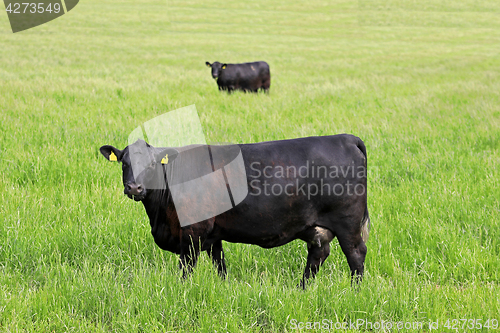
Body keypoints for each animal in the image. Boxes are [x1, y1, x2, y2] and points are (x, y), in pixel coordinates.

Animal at [100, 134, 368, 286]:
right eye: (124, 163)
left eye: (152, 164)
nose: (134, 187)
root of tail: (346, 138)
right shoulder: (212, 235)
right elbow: (220, 265)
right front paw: (225, 288)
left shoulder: (193, 232)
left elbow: (186, 268)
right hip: (317, 228)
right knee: (317, 255)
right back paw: (302, 288)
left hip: (348, 223)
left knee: (356, 255)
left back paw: (356, 291)